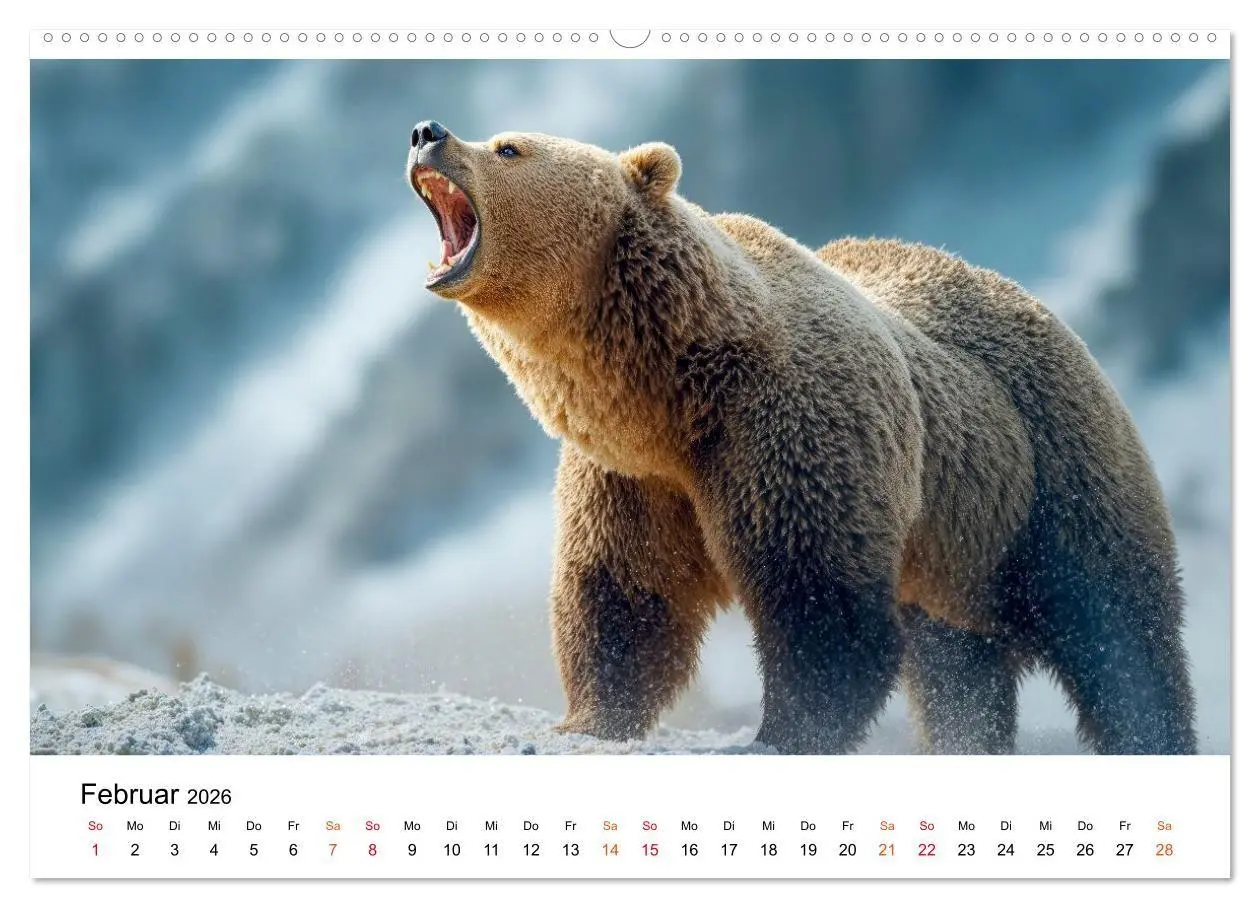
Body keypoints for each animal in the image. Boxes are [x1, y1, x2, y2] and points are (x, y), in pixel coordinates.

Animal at [405, 119, 1198, 755]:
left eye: (508, 146)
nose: (426, 131)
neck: (672, 391)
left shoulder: (791, 429)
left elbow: (815, 596)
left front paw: (781, 732)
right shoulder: (631, 477)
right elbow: (625, 594)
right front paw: (589, 719)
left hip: (1050, 476)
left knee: (1122, 638)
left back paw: (1152, 732)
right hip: (952, 552)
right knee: (957, 672)